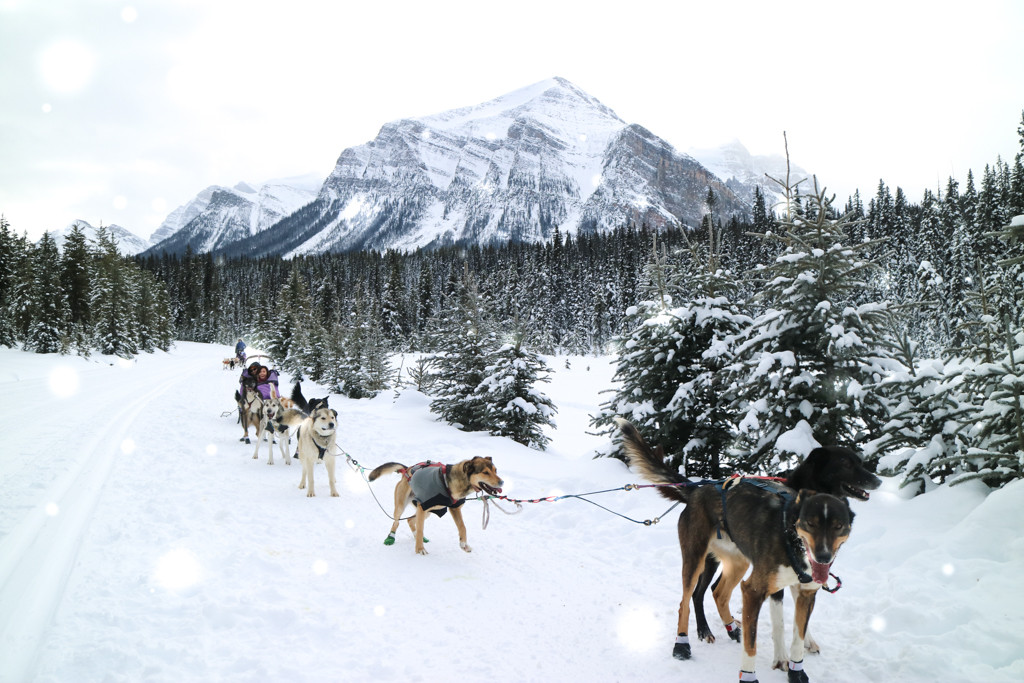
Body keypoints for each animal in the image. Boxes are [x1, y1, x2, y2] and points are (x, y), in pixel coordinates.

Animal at [370, 454, 505, 557]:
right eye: (485, 472)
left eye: (495, 470)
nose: (502, 482)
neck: (448, 482)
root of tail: (407, 470)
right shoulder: (423, 506)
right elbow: (421, 529)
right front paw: (420, 549)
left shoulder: (454, 508)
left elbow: (463, 527)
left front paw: (464, 544)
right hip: (402, 507)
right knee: (396, 522)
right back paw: (391, 537)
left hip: (428, 512)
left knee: (410, 520)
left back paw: (417, 536)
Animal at [614, 417, 856, 683]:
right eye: (810, 523)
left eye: (838, 526)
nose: (823, 556)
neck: (791, 537)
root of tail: (698, 489)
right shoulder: (754, 591)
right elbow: (755, 644)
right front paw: (751, 675)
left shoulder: (806, 594)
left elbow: (797, 639)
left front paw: (797, 672)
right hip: (696, 560)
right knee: (686, 601)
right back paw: (682, 644)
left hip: (739, 563)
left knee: (719, 593)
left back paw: (731, 629)